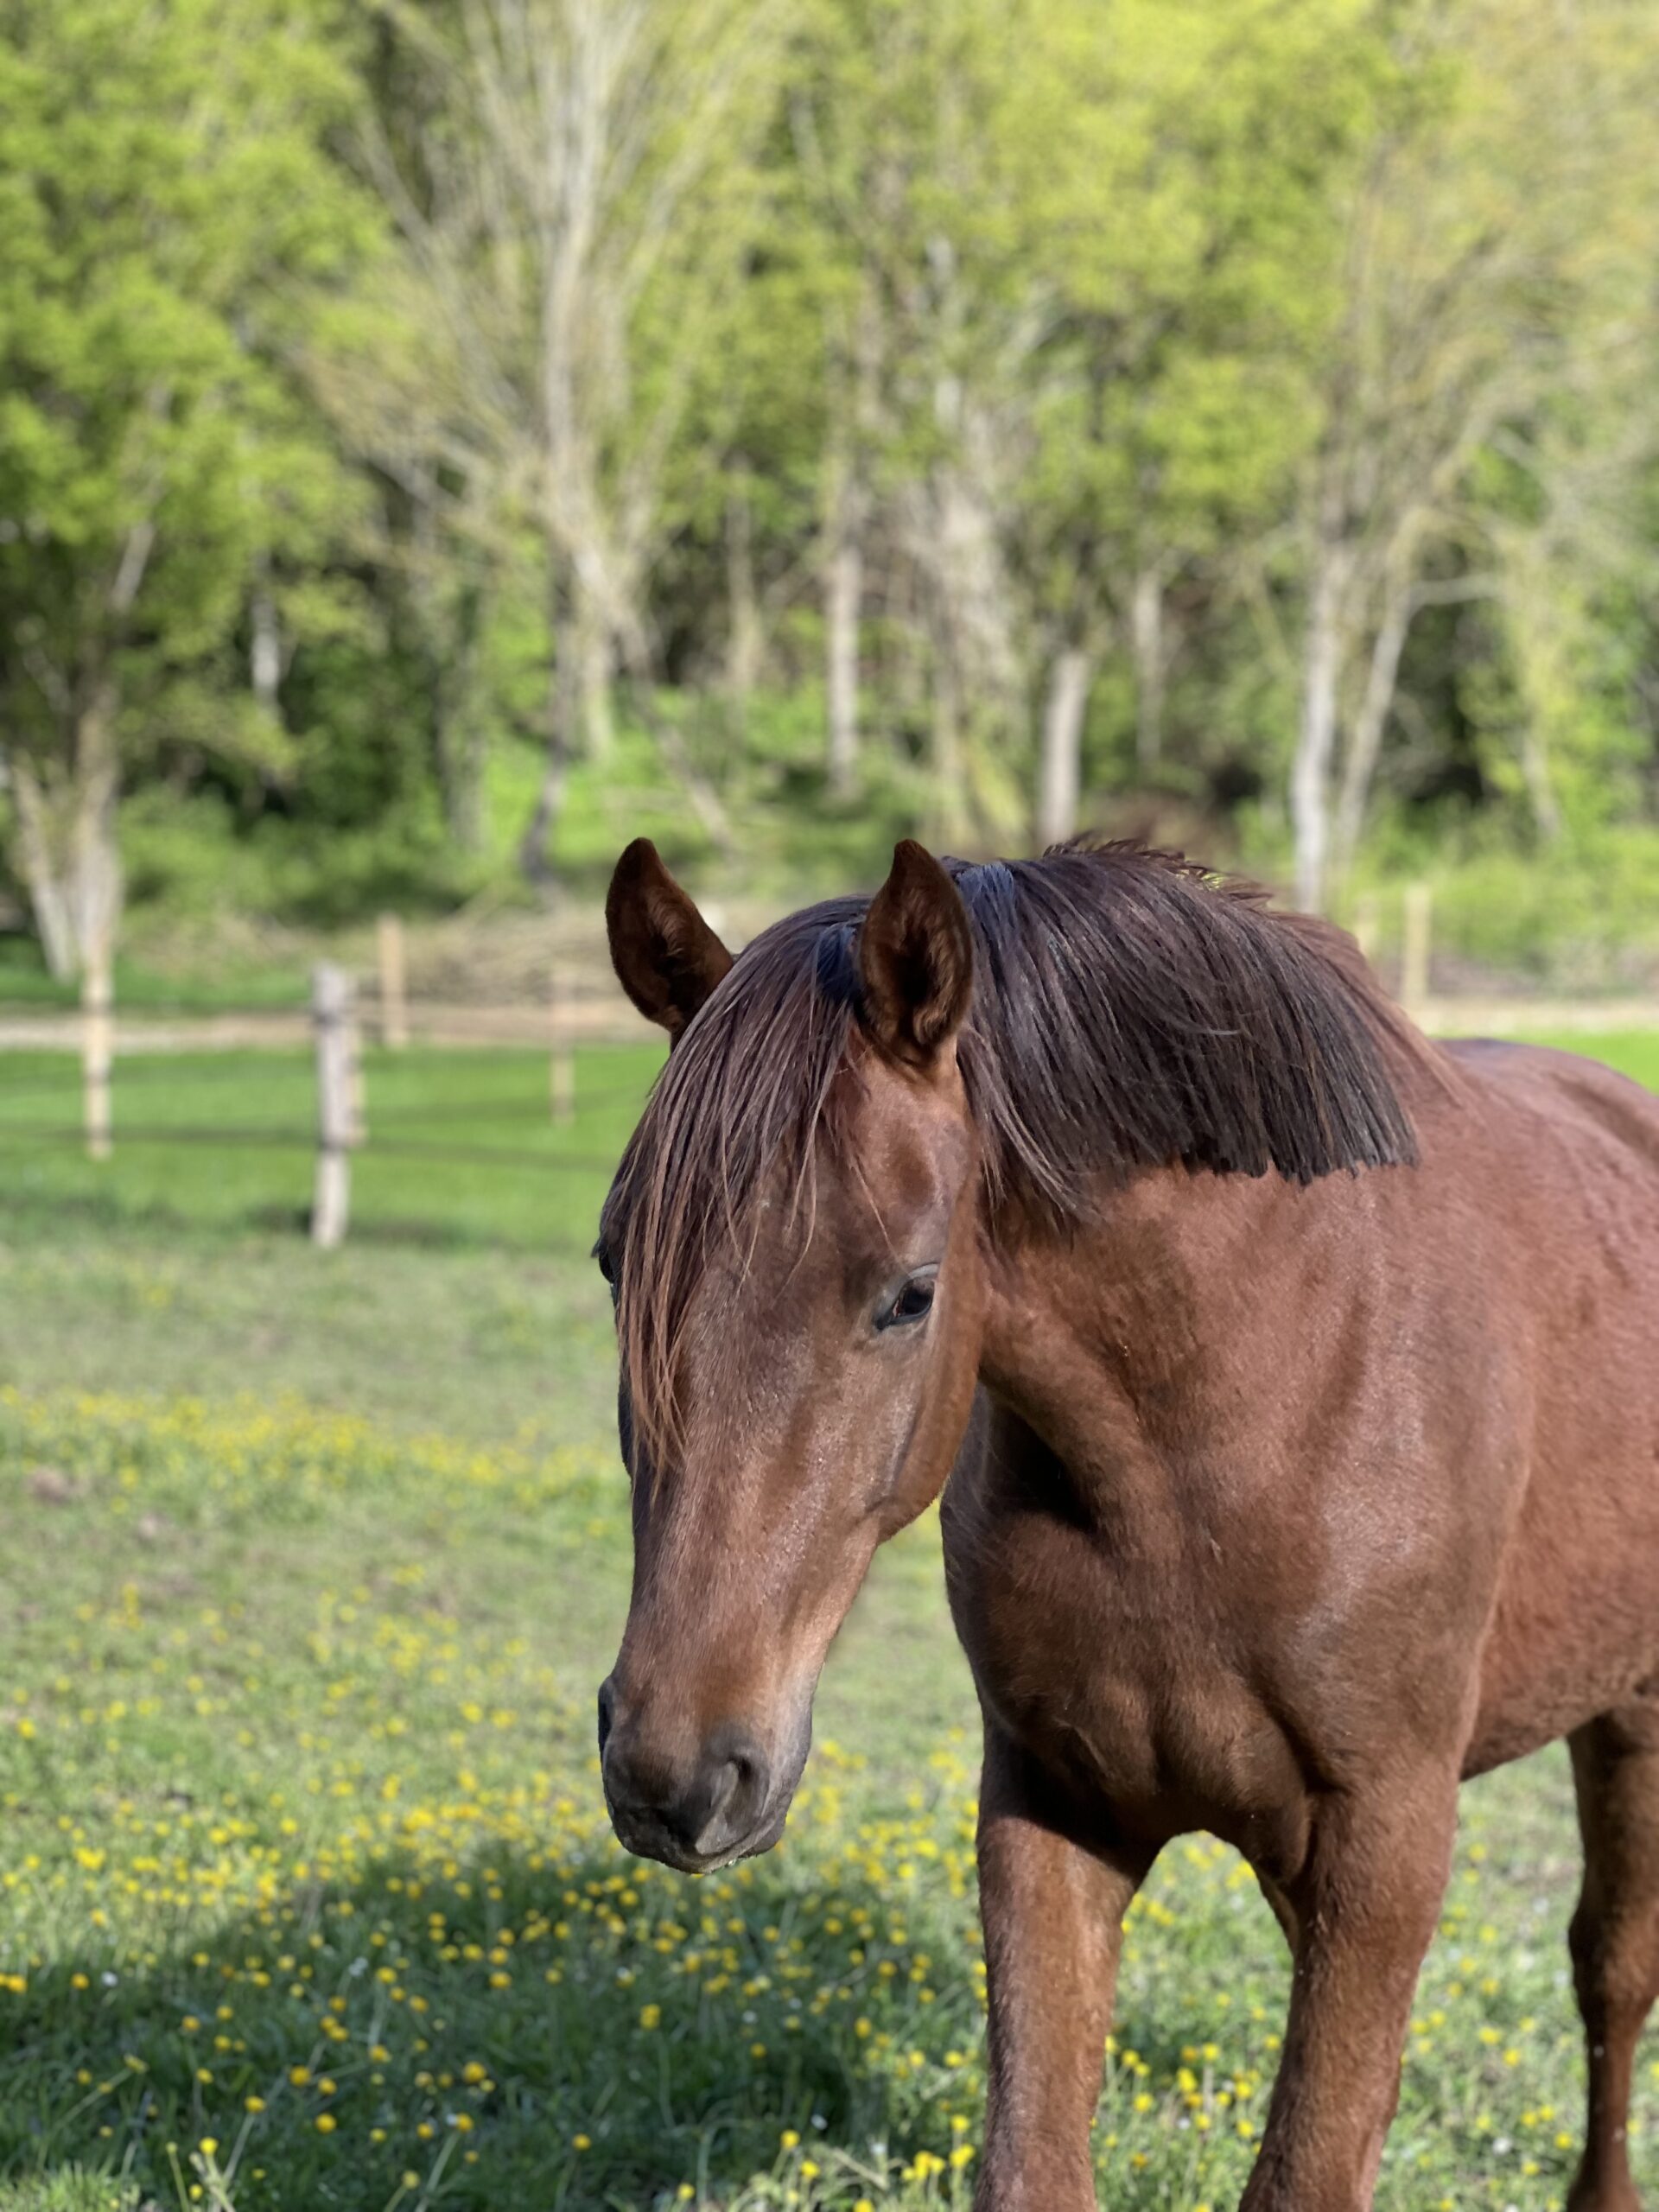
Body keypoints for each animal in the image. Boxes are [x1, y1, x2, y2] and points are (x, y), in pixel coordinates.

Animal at [597, 836, 1659, 2202]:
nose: (672, 1771)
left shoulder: (1389, 1841)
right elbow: (1037, 2161)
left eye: (910, 1293)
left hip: (1630, 1719)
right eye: (614, 1260)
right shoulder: (1051, 1807)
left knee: (1612, 1970)